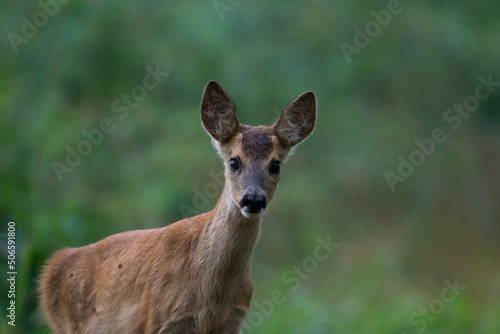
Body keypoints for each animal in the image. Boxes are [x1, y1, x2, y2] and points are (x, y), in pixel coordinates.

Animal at [40, 81, 316, 334]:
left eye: (275, 165)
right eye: (234, 162)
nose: (253, 200)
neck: (211, 298)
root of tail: (53, 267)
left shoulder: (232, 322)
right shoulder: (159, 321)